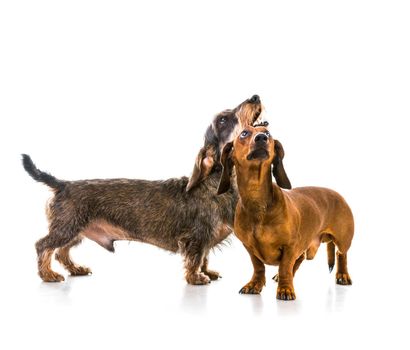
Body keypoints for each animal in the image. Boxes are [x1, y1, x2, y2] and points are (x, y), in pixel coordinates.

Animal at [216, 126, 354, 300]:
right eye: (244, 133)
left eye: (268, 133)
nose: (261, 138)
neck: (257, 203)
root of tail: (337, 194)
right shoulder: (249, 247)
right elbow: (258, 266)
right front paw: (255, 284)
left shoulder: (290, 247)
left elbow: (284, 267)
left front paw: (285, 289)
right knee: (300, 259)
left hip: (343, 240)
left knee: (341, 254)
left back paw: (342, 275)